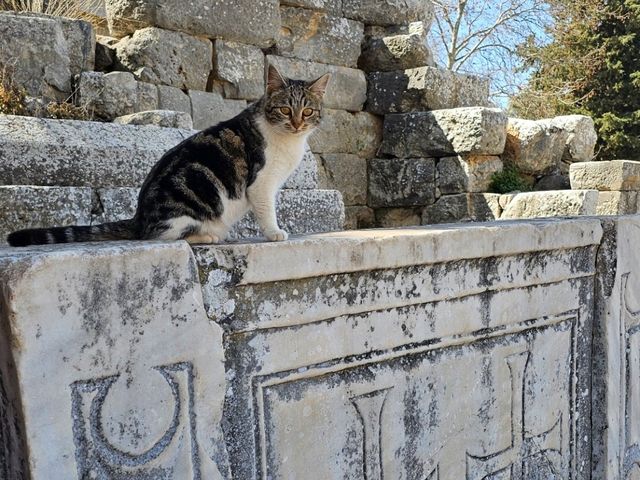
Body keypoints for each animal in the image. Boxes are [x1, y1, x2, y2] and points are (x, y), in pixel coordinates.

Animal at [7, 65, 330, 246]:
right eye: (285, 109)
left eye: (307, 111)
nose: (297, 123)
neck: (289, 140)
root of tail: (139, 217)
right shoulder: (261, 183)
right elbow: (267, 210)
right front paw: (274, 232)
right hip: (192, 200)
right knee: (163, 235)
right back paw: (209, 235)